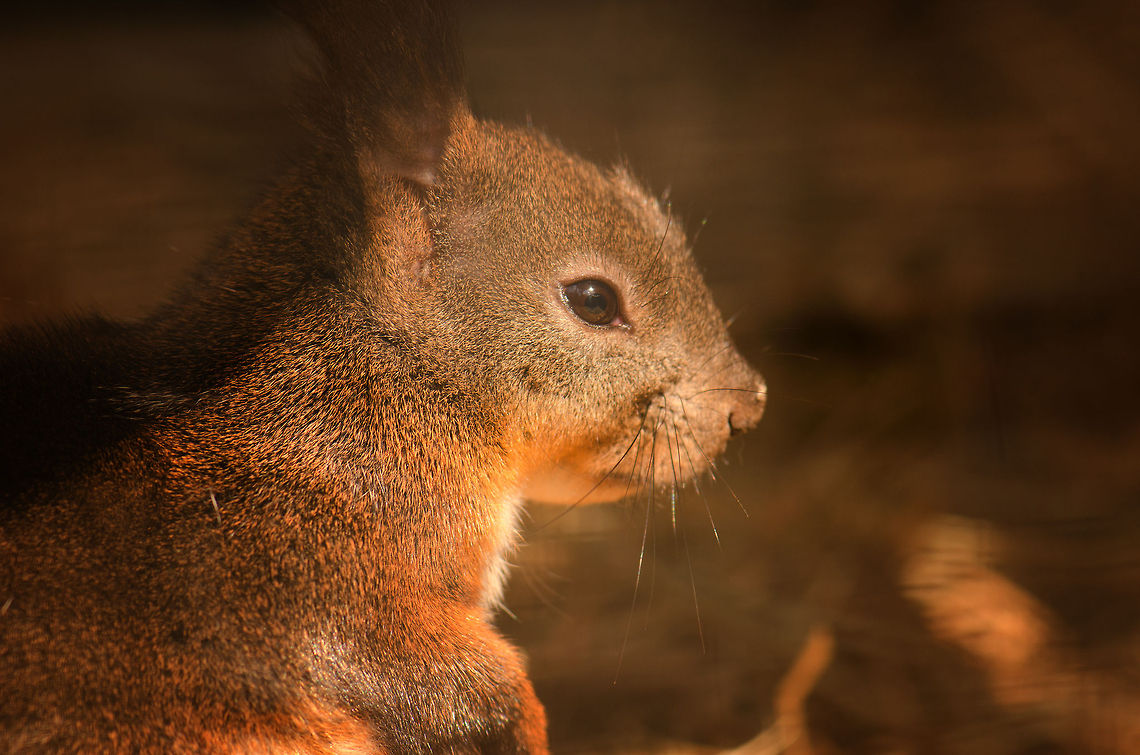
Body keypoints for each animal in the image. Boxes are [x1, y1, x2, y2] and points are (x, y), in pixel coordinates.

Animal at [0, 1, 765, 752]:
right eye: (594, 300)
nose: (747, 405)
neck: (371, 394)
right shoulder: (305, 582)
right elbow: (423, 671)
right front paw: (517, 718)